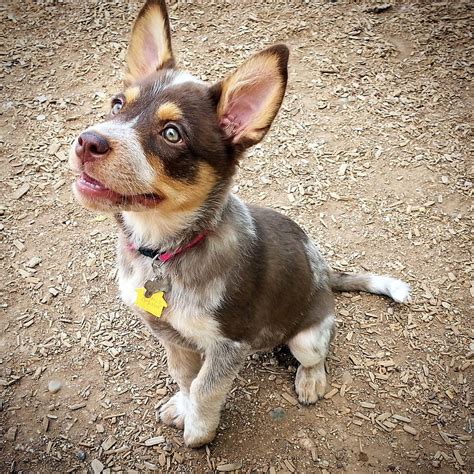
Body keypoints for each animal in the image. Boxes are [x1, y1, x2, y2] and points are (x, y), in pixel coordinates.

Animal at [68, 0, 410, 448]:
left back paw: (311, 380)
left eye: (172, 133)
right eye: (116, 104)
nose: (87, 141)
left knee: (316, 356)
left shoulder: (229, 343)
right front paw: (182, 407)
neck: (164, 249)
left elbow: (205, 388)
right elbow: (184, 377)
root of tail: (325, 274)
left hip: (307, 337)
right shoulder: (169, 335)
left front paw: (199, 432)